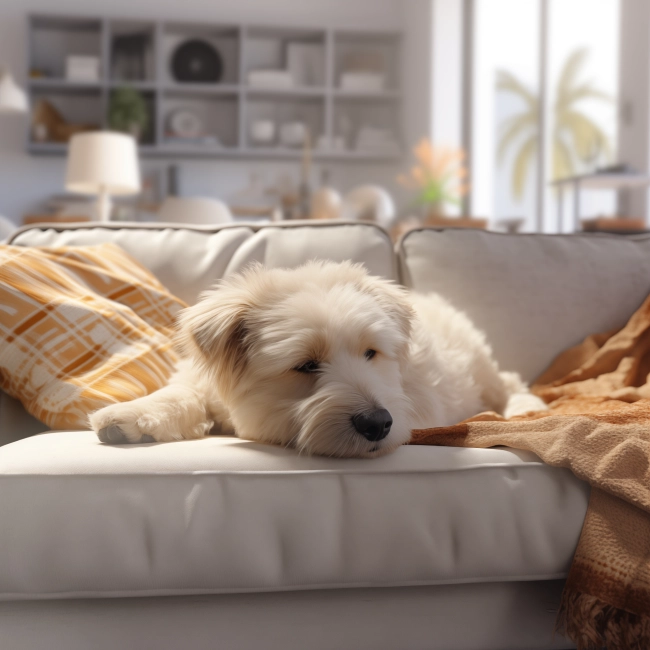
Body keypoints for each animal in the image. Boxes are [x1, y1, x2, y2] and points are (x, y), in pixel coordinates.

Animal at [88, 258, 544, 456]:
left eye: (371, 353)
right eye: (306, 365)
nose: (378, 424)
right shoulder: (201, 383)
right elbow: (178, 395)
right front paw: (130, 417)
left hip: (480, 367)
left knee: (509, 382)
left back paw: (525, 408)